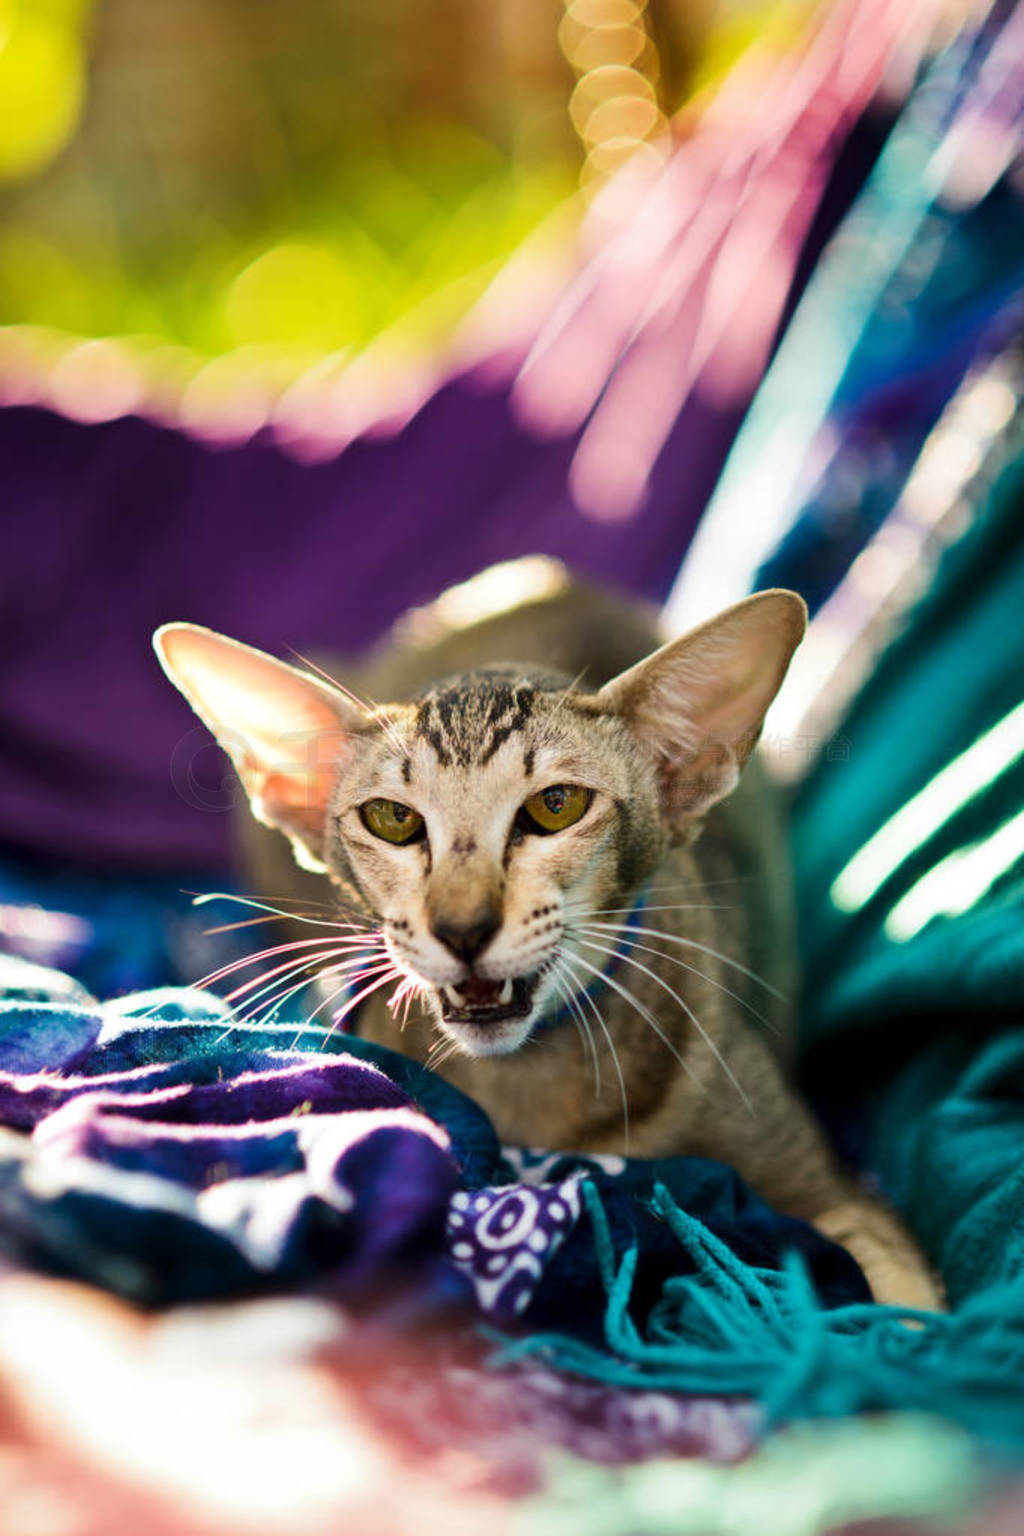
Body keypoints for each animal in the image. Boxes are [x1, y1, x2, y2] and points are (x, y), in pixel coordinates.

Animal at [154, 562, 945, 1308]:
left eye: (556, 806)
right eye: (393, 819)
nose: (462, 927)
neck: (530, 1095)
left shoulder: (839, 1194)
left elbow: (908, 1310)